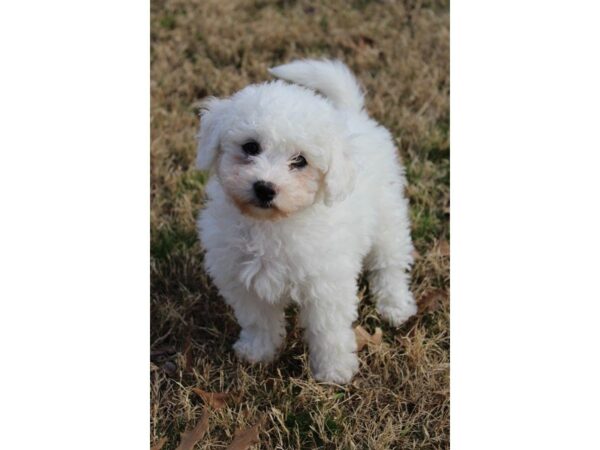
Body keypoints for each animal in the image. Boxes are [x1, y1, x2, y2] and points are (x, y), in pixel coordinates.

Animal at [199, 59, 414, 384]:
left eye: (300, 161)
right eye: (250, 147)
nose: (264, 188)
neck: (272, 224)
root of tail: (353, 114)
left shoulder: (326, 284)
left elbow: (328, 331)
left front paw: (334, 371)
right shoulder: (242, 279)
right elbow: (258, 319)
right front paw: (258, 351)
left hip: (387, 215)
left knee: (389, 264)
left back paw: (395, 305)